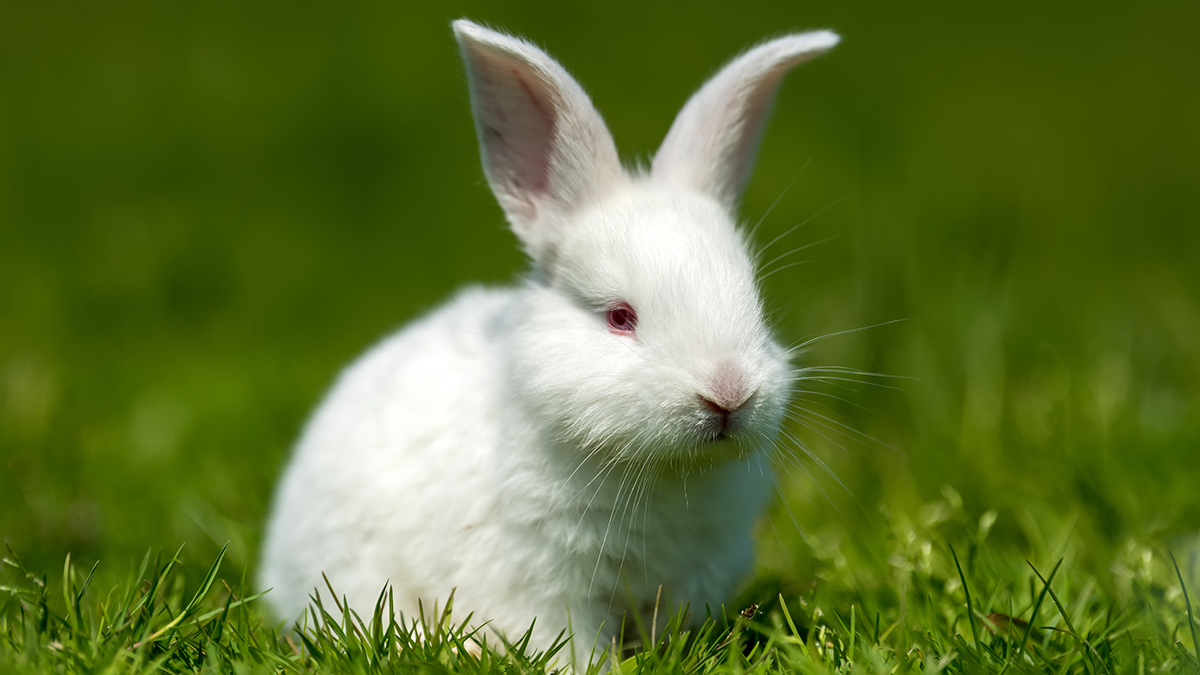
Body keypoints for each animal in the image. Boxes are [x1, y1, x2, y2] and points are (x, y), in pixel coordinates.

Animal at [259, 18, 840, 662]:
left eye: (753, 302)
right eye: (619, 317)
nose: (729, 394)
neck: (661, 471)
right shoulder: (539, 583)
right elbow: (564, 643)